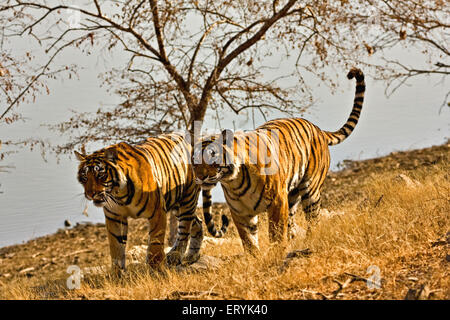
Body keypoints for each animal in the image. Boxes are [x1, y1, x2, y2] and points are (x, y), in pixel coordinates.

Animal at [75, 132, 229, 272]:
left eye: (100, 175)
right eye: (84, 177)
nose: (90, 194)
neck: (118, 194)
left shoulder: (157, 212)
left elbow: (155, 243)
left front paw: (156, 270)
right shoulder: (115, 217)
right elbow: (116, 247)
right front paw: (117, 275)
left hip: (187, 199)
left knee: (185, 228)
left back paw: (175, 255)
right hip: (176, 205)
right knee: (197, 222)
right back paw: (192, 256)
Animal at [192, 68, 366, 255]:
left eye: (212, 155)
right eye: (194, 161)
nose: (200, 178)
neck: (233, 182)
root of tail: (318, 129)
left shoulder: (277, 201)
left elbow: (276, 233)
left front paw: (275, 254)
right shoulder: (240, 212)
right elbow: (249, 241)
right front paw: (256, 258)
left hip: (310, 190)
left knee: (313, 220)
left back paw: (309, 242)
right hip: (291, 195)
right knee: (292, 224)